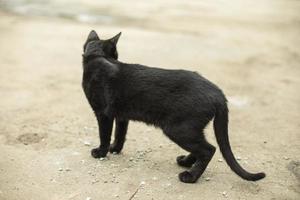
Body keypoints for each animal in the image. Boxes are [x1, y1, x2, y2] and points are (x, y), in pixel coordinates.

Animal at [81, 30, 264, 184]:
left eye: (116, 55)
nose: (117, 59)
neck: (96, 58)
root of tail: (218, 92)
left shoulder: (103, 113)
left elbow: (104, 135)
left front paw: (101, 152)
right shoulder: (121, 116)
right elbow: (120, 134)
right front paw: (115, 149)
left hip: (177, 129)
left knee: (208, 149)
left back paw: (190, 176)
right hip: (189, 129)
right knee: (203, 147)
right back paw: (185, 162)